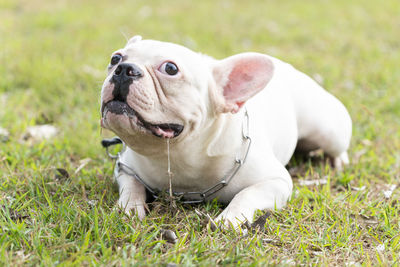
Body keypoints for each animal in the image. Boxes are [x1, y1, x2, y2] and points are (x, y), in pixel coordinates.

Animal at [100, 35, 350, 228]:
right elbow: (132, 186)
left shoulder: (276, 181)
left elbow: (247, 194)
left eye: (170, 68)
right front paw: (128, 208)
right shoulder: (125, 167)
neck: (179, 155)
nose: (124, 69)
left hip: (329, 130)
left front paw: (230, 218)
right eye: (115, 58)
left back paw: (338, 160)